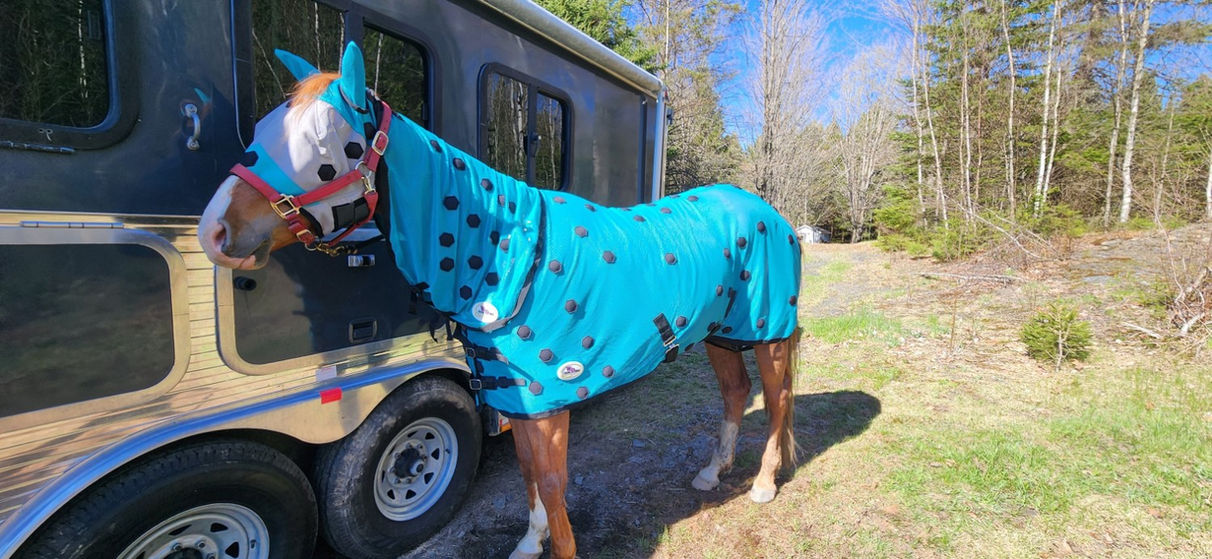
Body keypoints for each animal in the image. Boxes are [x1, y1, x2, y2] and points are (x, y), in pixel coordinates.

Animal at [198, 42, 803, 559]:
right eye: (261, 129)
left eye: (326, 145)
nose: (214, 233)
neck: (503, 258)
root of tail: (767, 211)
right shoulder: (515, 397)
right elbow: (529, 473)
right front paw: (529, 543)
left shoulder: (549, 398)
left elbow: (553, 482)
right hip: (723, 335)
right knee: (736, 393)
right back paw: (712, 473)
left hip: (769, 333)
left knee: (776, 401)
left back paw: (763, 484)